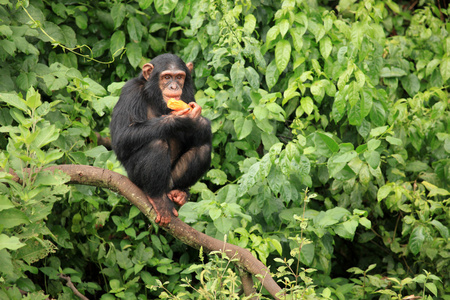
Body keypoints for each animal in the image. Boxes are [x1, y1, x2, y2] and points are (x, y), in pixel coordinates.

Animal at [110, 53, 213, 225]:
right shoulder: (130, 92)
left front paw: (199, 121)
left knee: (203, 149)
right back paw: (158, 199)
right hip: (135, 178)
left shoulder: (188, 95)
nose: (174, 86)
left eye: (179, 77)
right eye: (166, 77)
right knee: (156, 145)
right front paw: (179, 119)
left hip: (172, 180)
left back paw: (180, 192)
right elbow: (122, 137)